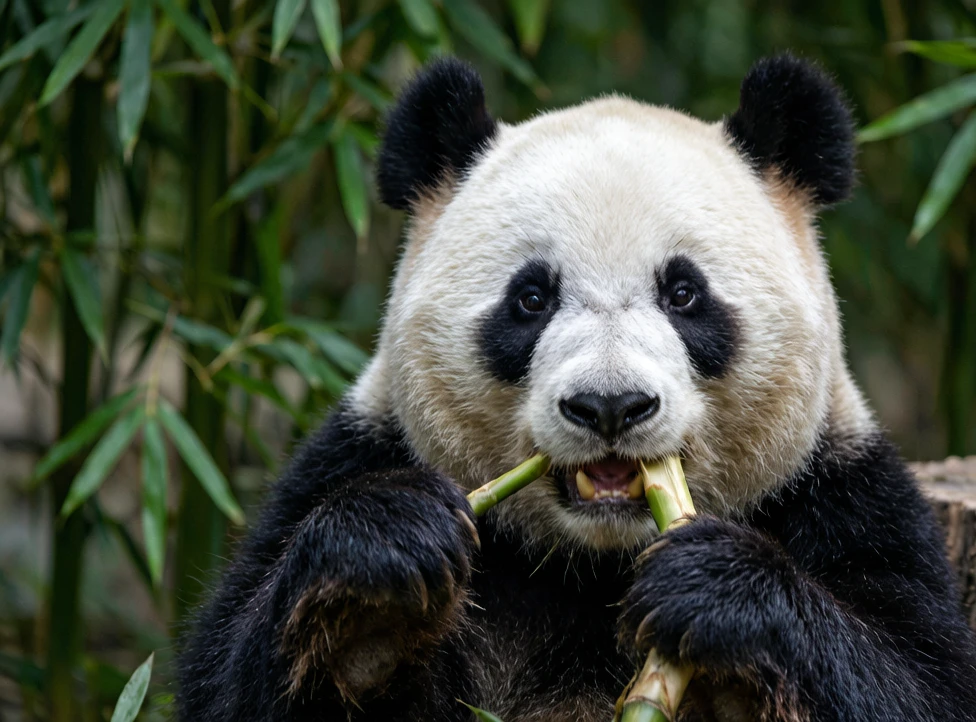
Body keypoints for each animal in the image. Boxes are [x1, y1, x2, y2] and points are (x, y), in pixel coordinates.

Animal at [177, 55, 976, 721]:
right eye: (531, 298)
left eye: (684, 294)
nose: (610, 406)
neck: (594, 564)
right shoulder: (358, 452)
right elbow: (232, 673)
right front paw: (380, 575)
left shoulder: (840, 494)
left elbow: (915, 681)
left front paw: (714, 587)